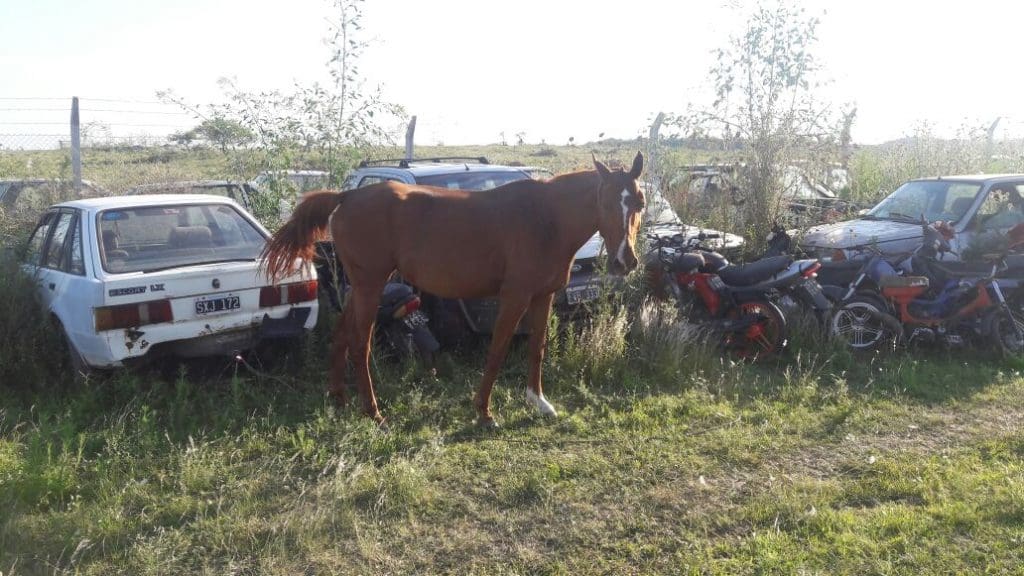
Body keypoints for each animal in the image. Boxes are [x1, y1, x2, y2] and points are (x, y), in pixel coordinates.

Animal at [266, 150, 647, 424]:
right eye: (605, 201)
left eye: (640, 203)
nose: (624, 261)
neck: (546, 219)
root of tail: (347, 196)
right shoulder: (514, 297)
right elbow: (498, 349)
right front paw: (484, 411)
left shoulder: (543, 296)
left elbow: (537, 348)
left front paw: (539, 403)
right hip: (370, 286)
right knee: (360, 344)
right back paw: (373, 412)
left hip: (360, 289)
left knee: (342, 335)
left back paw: (340, 400)